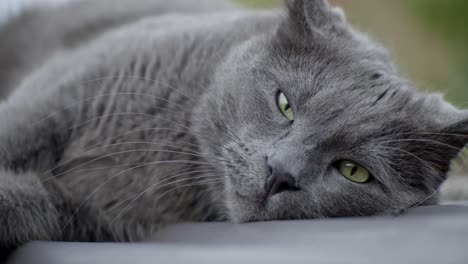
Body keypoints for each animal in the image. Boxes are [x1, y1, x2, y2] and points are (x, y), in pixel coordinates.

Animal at [0, 0, 468, 254]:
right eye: (285, 105)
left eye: (354, 171)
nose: (280, 172)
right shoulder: (58, 96)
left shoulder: (88, 216)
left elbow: (31, 202)